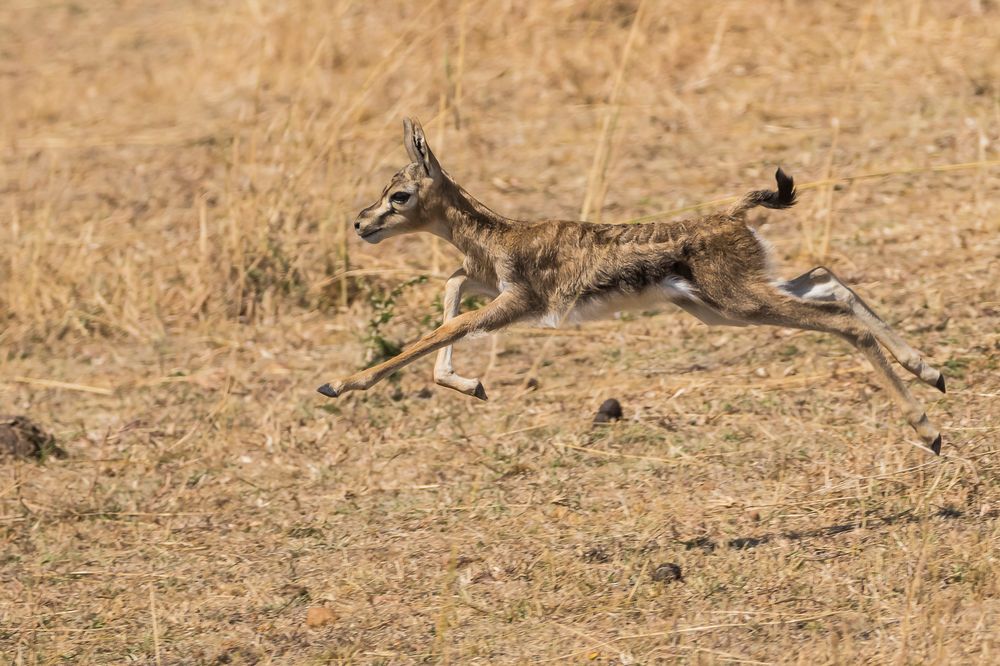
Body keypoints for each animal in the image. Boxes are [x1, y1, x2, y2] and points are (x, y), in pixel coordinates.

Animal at [318, 118, 944, 452]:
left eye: (399, 195)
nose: (362, 224)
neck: (499, 234)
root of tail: (733, 215)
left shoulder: (518, 303)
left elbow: (439, 329)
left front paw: (340, 384)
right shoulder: (486, 286)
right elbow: (450, 295)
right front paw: (470, 386)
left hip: (738, 302)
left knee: (841, 322)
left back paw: (929, 429)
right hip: (724, 306)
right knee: (827, 280)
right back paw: (931, 372)